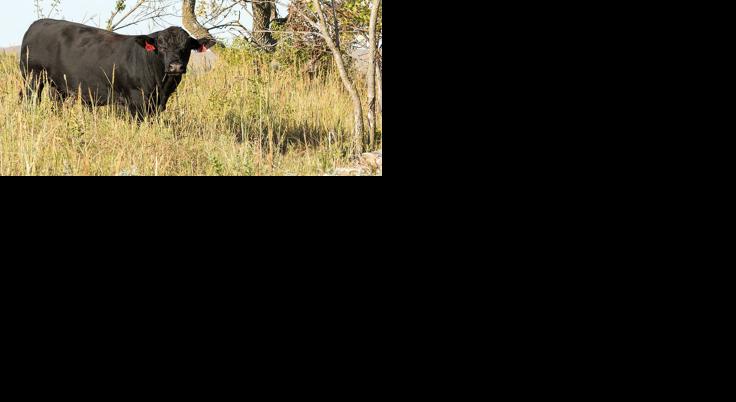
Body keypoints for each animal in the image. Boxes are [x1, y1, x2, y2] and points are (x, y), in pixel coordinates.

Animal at [20, 19, 217, 119]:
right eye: (161, 45)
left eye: (187, 46)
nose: (175, 66)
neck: (162, 85)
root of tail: (36, 24)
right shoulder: (137, 101)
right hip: (33, 77)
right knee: (29, 101)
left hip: (58, 85)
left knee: (56, 104)